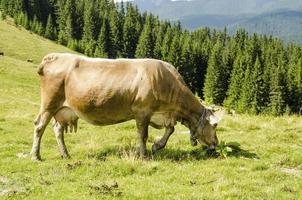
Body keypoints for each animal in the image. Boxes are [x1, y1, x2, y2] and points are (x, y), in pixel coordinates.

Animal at [30, 53, 221, 161]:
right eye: (214, 125)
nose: (216, 144)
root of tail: (52, 57)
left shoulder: (164, 114)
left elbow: (170, 130)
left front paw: (157, 146)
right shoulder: (142, 111)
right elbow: (143, 135)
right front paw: (145, 155)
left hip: (63, 109)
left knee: (57, 129)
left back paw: (65, 154)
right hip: (49, 103)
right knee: (39, 126)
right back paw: (35, 156)